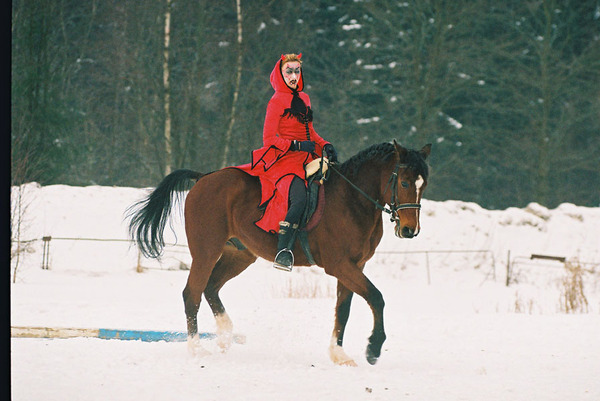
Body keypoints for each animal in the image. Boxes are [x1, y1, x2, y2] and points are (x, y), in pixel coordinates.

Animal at [127, 141, 432, 366]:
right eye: (404, 183)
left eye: (423, 185)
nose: (409, 230)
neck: (352, 199)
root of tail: (204, 178)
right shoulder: (340, 265)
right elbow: (376, 298)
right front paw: (373, 348)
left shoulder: (355, 266)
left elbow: (343, 309)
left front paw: (339, 355)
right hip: (206, 250)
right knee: (192, 293)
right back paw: (196, 349)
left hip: (240, 254)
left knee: (211, 287)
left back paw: (225, 336)